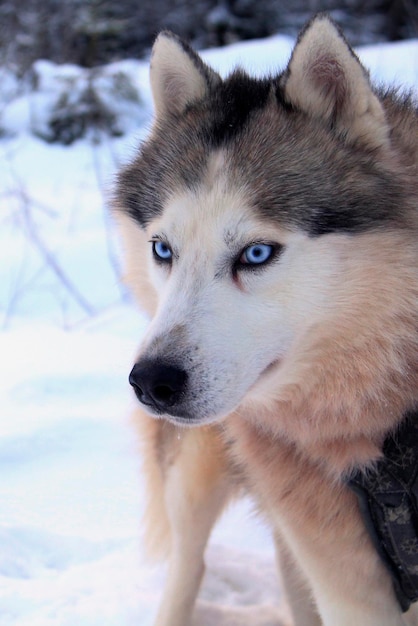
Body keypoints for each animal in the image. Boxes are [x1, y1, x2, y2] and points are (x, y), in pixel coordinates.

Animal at [113, 14, 418, 624]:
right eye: (163, 249)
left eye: (255, 254)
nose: (151, 382)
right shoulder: (350, 593)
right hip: (195, 481)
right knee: (189, 567)